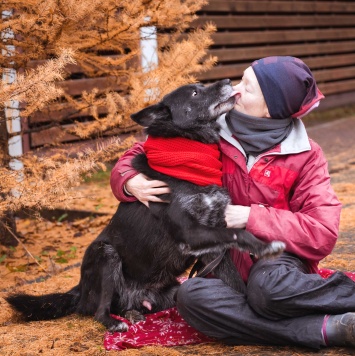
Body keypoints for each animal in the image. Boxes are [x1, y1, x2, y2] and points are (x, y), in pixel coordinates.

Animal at [5, 80, 286, 330]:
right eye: (195, 93)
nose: (228, 80)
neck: (189, 157)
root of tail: (79, 291)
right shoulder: (189, 232)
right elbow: (237, 232)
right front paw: (266, 245)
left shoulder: (212, 249)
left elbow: (235, 282)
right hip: (104, 254)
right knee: (99, 311)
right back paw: (115, 323)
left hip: (172, 289)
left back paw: (132, 313)